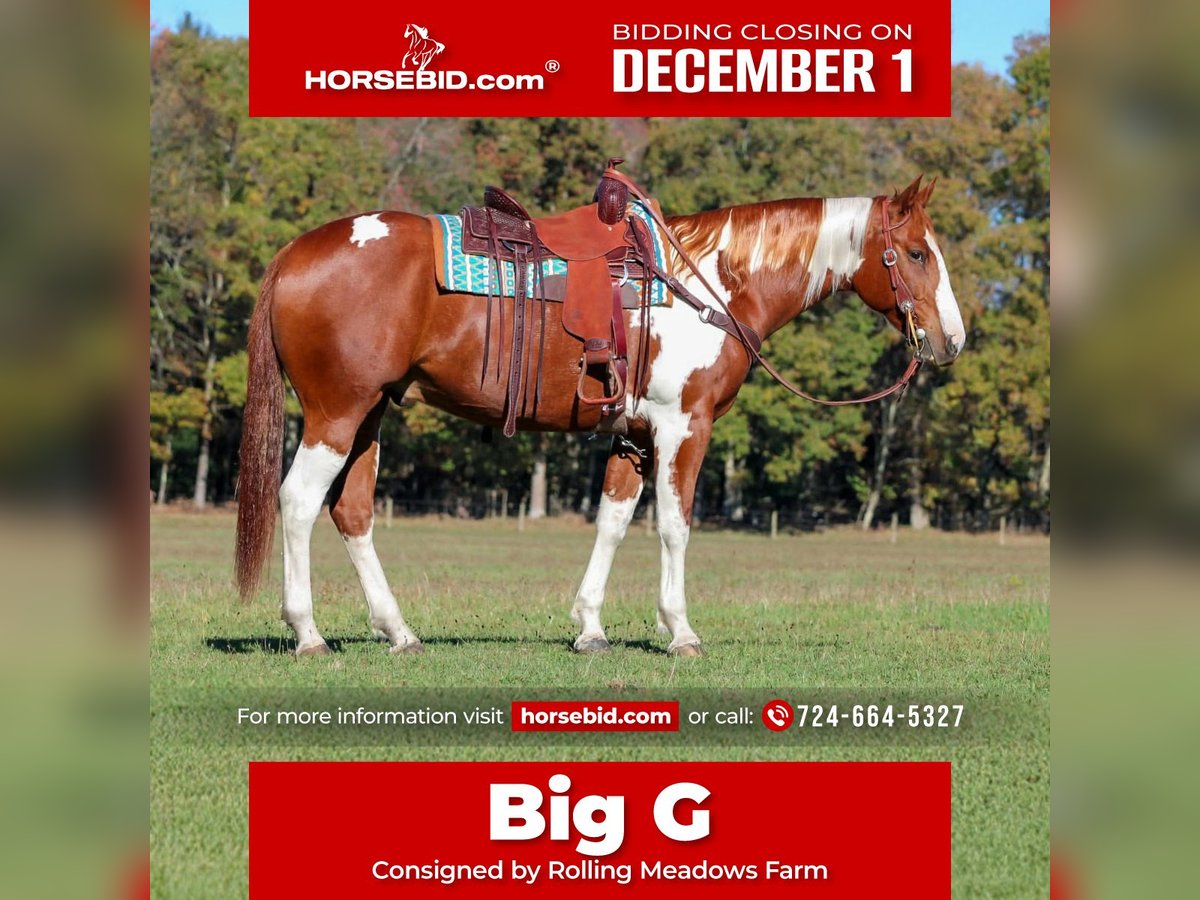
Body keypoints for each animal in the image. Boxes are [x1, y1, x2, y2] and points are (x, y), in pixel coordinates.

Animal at [234, 174, 965, 658]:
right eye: (918, 254)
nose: (952, 339)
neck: (712, 285)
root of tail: (295, 252)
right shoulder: (682, 427)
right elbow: (674, 525)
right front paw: (681, 631)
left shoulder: (632, 436)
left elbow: (612, 524)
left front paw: (589, 626)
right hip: (337, 413)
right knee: (298, 502)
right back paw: (307, 633)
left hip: (371, 416)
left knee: (352, 512)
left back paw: (399, 632)